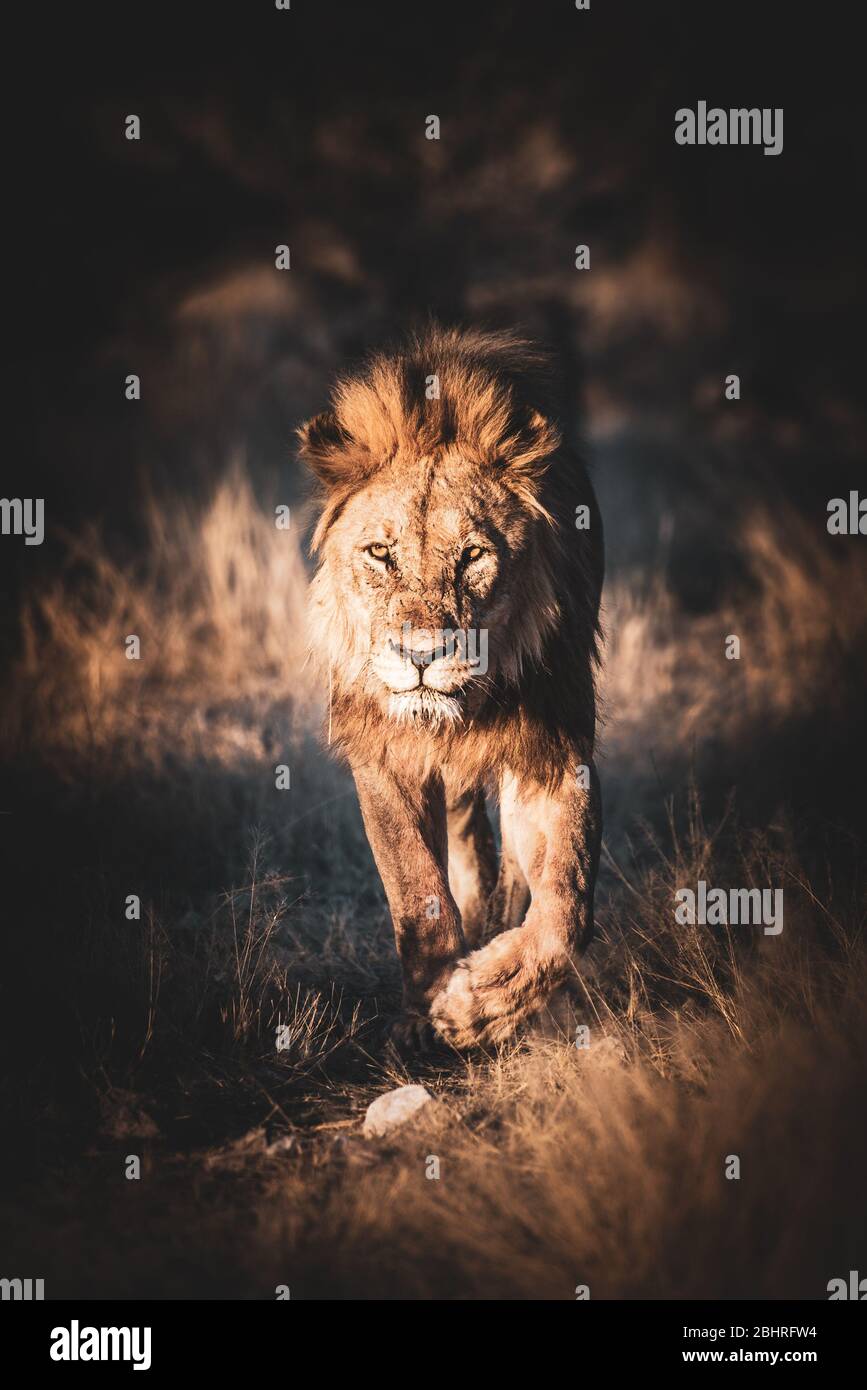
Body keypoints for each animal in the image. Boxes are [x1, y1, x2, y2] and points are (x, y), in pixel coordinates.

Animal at [298, 324, 603, 1049]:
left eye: (472, 556)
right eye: (380, 554)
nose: (421, 656)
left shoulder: (552, 751)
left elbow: (566, 906)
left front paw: (475, 1004)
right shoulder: (383, 750)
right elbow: (415, 885)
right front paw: (426, 1009)